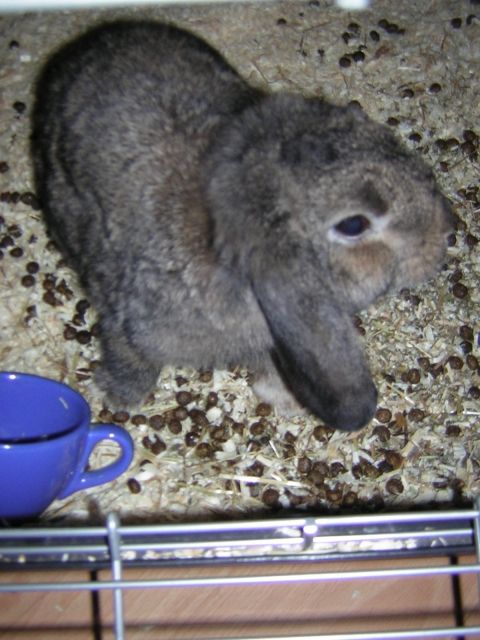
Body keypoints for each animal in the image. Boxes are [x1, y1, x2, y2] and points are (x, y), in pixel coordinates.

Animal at [31, 20, 453, 432]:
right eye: (353, 224)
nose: (442, 237)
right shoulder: (127, 321)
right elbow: (131, 357)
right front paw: (119, 396)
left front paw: (283, 398)